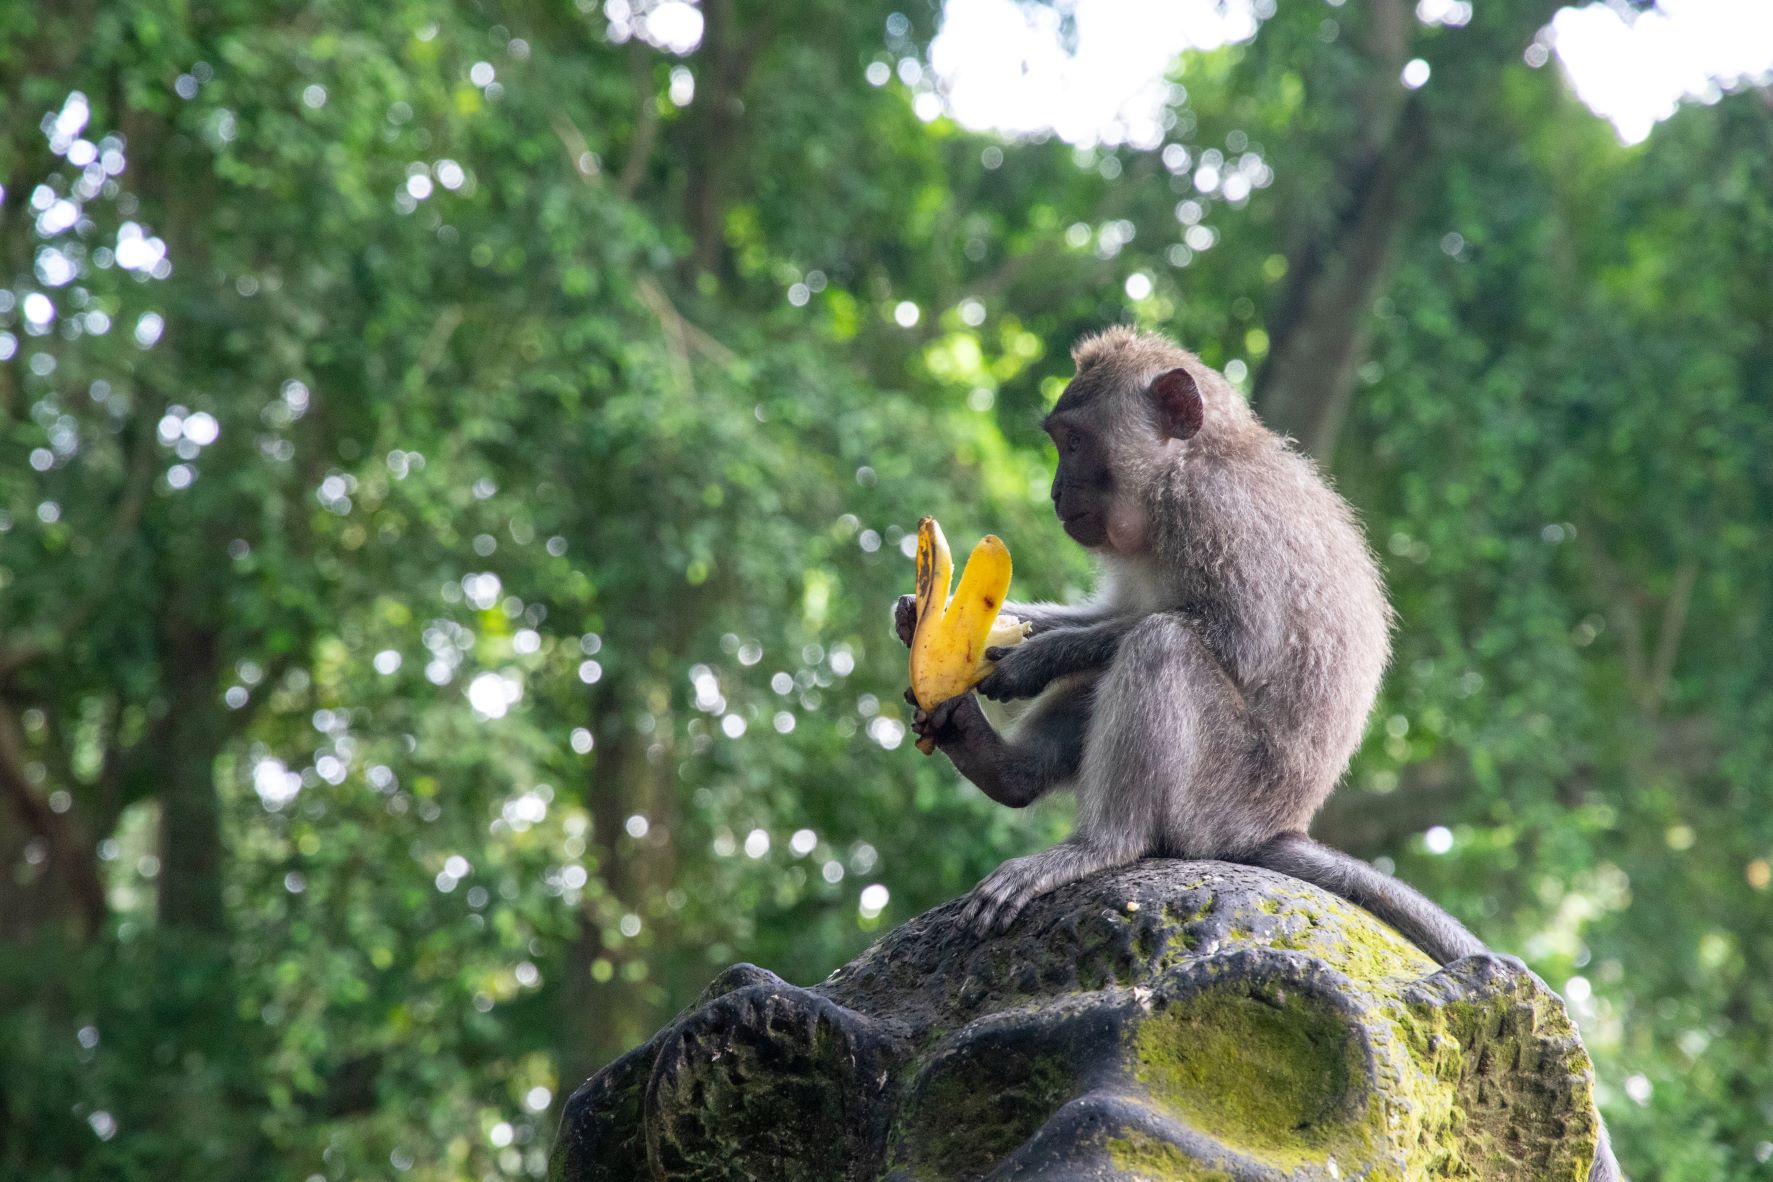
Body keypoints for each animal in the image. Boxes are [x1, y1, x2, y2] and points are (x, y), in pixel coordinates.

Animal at [907, 326, 1616, 1182]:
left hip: (1219, 786)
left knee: (1161, 647)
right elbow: (1116, 610)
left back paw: (1098, 845)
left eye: (1073, 442)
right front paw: (950, 622)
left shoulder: (1216, 518)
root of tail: (1266, 827)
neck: (1186, 468)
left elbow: (1216, 636)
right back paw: (999, 767)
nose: (1053, 493)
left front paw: (1032, 658)